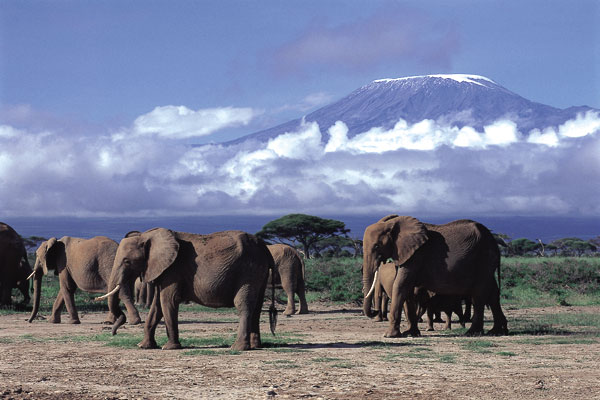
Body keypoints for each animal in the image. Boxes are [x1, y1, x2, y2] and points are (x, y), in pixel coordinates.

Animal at [103, 228, 276, 350]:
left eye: (127, 261)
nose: (113, 332)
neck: (147, 235)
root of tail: (265, 248)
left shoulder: (173, 270)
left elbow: (168, 301)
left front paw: (169, 347)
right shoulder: (163, 270)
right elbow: (156, 306)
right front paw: (143, 346)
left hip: (248, 271)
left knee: (243, 304)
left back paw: (237, 348)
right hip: (259, 272)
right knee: (257, 307)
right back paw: (255, 346)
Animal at [360, 216, 506, 338]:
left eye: (377, 246)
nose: (374, 311)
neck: (393, 224)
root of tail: (494, 241)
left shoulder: (416, 255)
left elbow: (401, 285)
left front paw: (389, 335)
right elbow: (407, 290)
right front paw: (411, 333)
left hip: (483, 258)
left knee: (479, 293)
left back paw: (472, 333)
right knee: (492, 292)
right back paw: (497, 331)